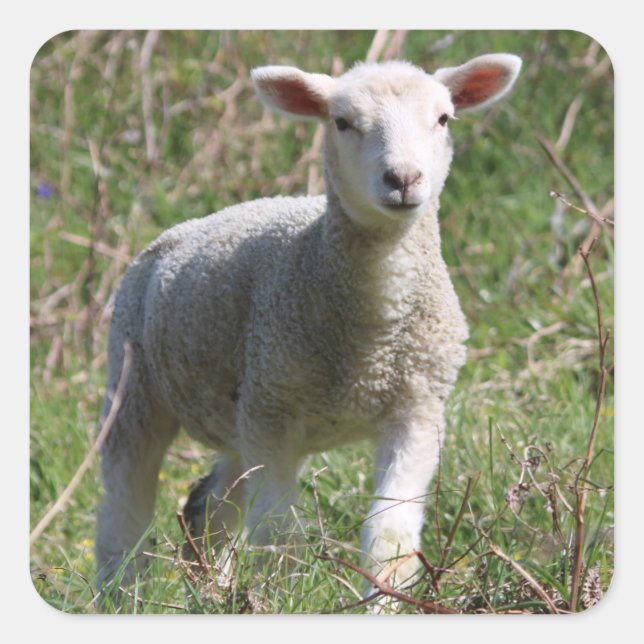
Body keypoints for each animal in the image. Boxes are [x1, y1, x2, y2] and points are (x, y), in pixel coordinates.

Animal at [96, 53, 522, 599]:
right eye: (342, 122)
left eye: (444, 118)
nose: (403, 179)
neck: (372, 338)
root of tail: (174, 233)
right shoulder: (273, 416)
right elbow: (280, 534)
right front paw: (286, 596)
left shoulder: (419, 410)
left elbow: (390, 534)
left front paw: (382, 603)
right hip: (138, 386)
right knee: (124, 507)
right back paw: (121, 595)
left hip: (243, 415)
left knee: (208, 506)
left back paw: (210, 589)